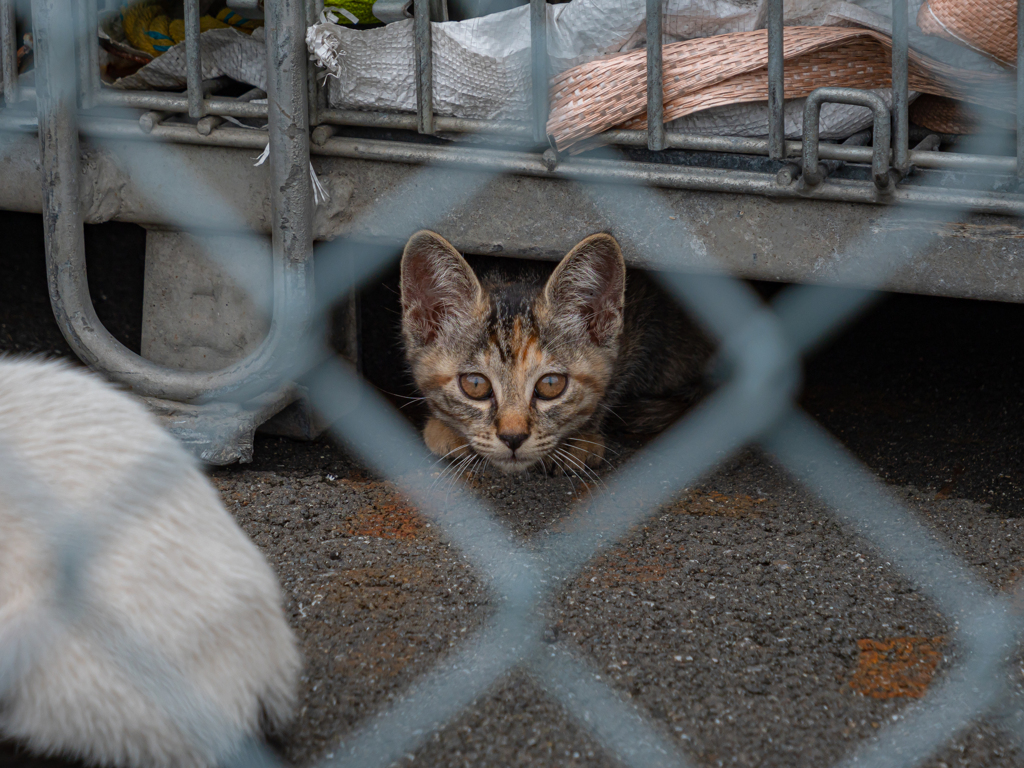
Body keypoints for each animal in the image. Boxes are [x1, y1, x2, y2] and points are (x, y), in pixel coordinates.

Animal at [399, 228, 712, 473]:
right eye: (475, 385)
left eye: (551, 385)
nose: (513, 437)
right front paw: (445, 428)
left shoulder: (641, 316)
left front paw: (582, 436)